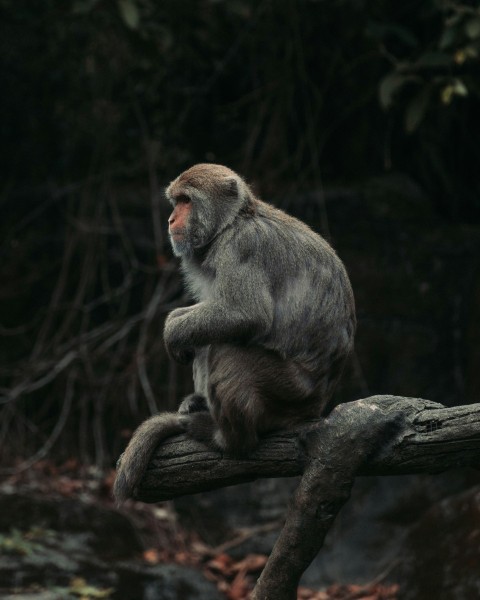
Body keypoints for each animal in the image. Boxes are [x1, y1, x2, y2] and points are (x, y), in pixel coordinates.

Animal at [111, 163, 352, 502]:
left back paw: (227, 438)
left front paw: (172, 329)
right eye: (176, 201)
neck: (232, 223)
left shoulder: (241, 247)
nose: (171, 219)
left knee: (228, 350)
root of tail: (317, 406)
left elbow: (245, 314)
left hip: (291, 394)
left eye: (186, 201)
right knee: (206, 340)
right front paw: (176, 319)